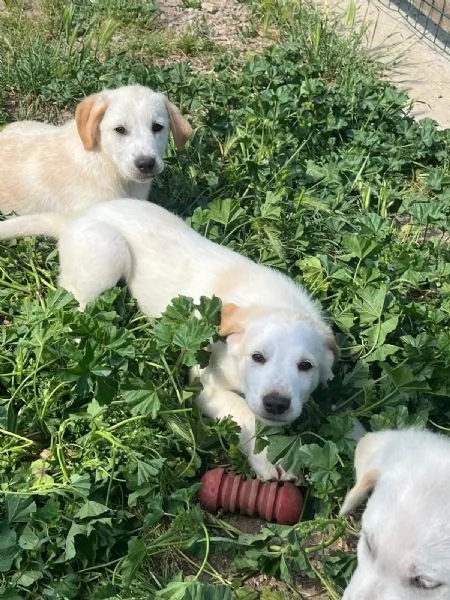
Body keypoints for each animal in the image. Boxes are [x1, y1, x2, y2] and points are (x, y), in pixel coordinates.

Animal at [0, 199, 338, 480]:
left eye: (306, 366)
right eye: (258, 357)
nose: (277, 404)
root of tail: (77, 218)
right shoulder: (205, 387)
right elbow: (246, 413)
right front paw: (270, 460)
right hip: (108, 254)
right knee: (74, 310)